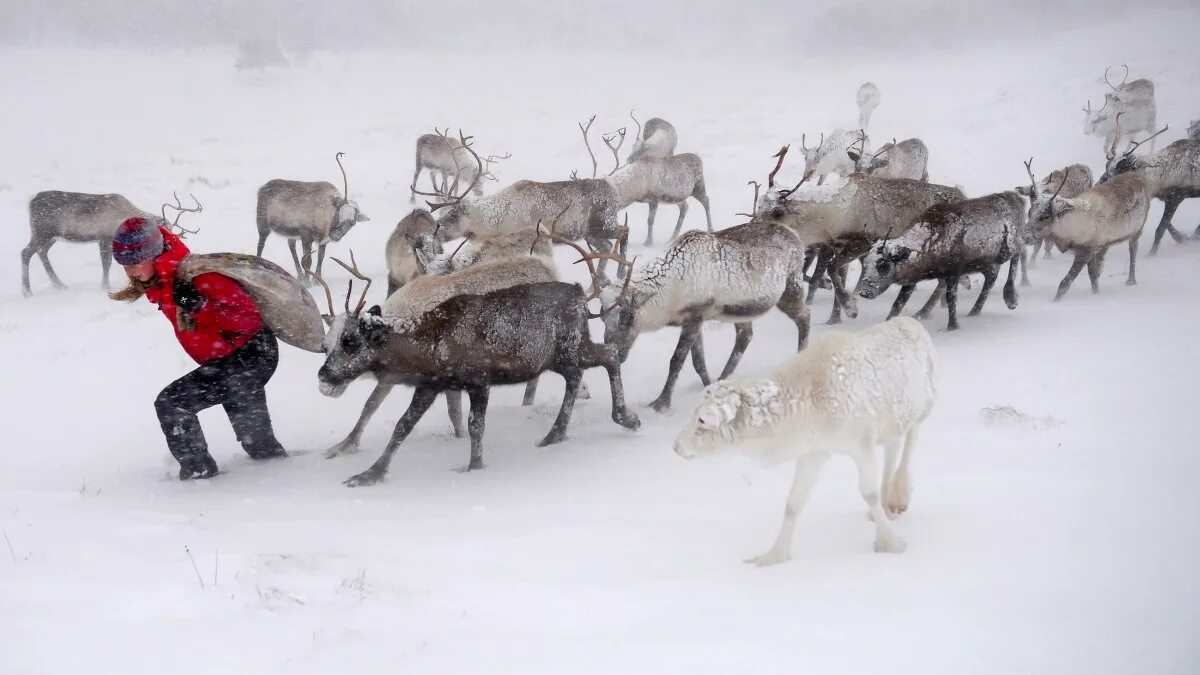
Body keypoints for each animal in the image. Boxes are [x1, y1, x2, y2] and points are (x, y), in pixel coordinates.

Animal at [672, 317, 931, 562]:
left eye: (702, 420)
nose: (676, 447)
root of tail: (914, 323)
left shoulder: (861, 443)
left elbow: (869, 494)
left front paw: (890, 543)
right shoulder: (813, 452)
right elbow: (793, 505)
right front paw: (773, 555)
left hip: (921, 412)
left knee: (907, 451)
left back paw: (897, 499)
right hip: (891, 425)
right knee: (892, 450)